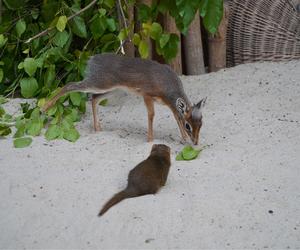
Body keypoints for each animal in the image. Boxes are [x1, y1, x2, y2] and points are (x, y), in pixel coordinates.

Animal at [42, 54, 206, 146]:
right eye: (188, 126)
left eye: (201, 124)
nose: (195, 142)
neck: (167, 85)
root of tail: (92, 59)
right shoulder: (147, 95)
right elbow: (151, 115)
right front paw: (150, 140)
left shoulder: (170, 104)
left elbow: (176, 116)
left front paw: (183, 139)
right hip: (98, 84)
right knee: (70, 85)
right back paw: (45, 107)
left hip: (111, 90)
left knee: (94, 99)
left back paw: (98, 128)